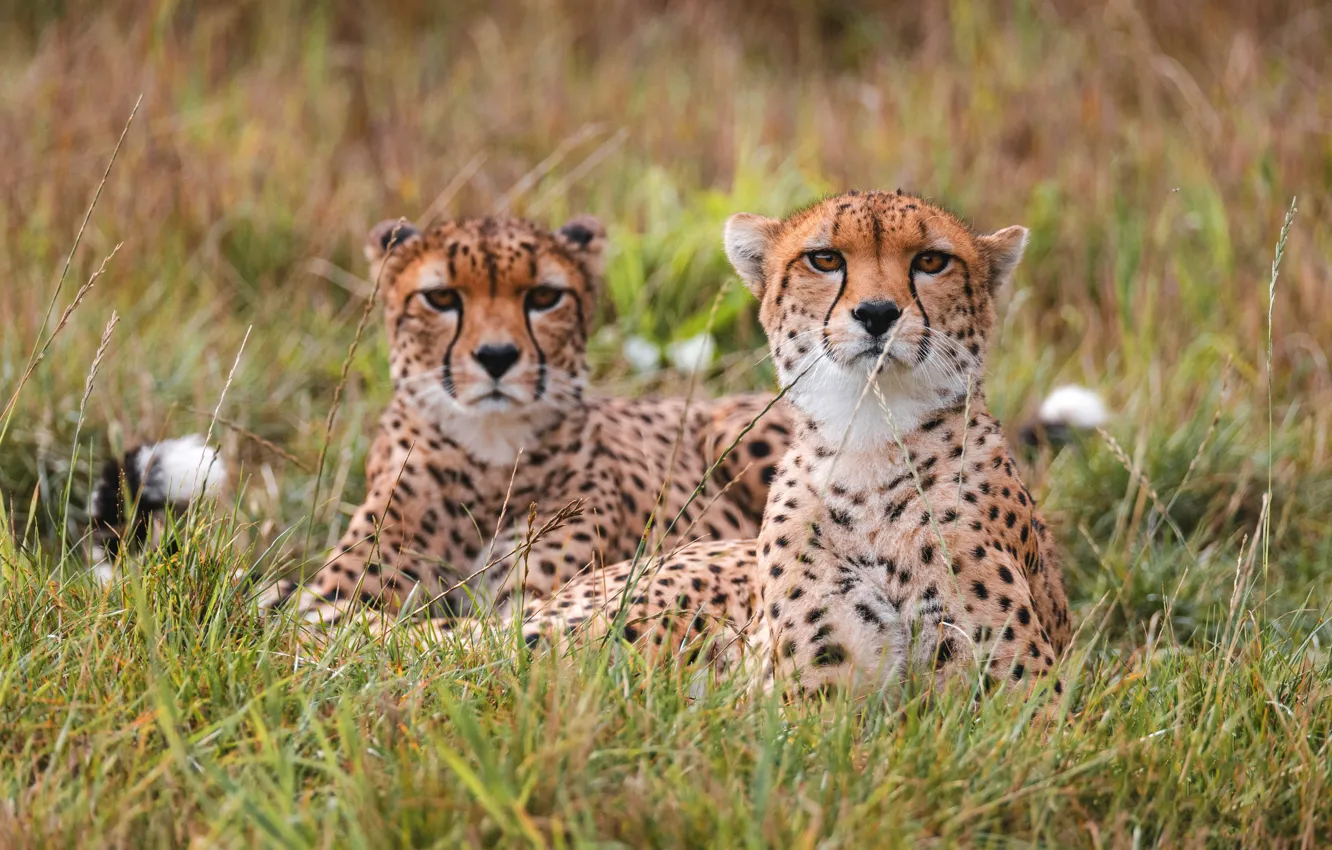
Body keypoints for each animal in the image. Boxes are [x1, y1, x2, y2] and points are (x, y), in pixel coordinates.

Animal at [259, 214, 792, 625]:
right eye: (441, 298)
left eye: (543, 297)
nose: (496, 356)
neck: (490, 457)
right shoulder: (334, 596)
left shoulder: (522, 604)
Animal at [438, 191, 1074, 700]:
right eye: (825, 259)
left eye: (931, 261)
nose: (877, 313)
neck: (870, 439)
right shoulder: (806, 698)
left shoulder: (1025, 704)